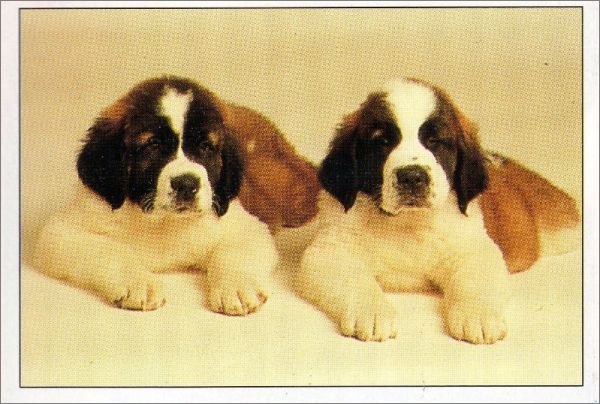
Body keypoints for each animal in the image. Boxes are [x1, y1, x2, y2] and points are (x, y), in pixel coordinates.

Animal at [33, 76, 319, 314]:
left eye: (206, 147)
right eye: (152, 146)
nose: (186, 184)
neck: (164, 224)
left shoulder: (246, 226)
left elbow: (233, 251)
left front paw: (235, 289)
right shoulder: (62, 231)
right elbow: (109, 248)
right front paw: (140, 284)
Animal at [295, 78, 580, 343]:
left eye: (435, 141)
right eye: (383, 142)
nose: (411, 176)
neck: (407, 223)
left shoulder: (475, 248)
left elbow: (476, 278)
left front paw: (478, 317)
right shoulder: (330, 251)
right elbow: (354, 279)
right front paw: (372, 313)